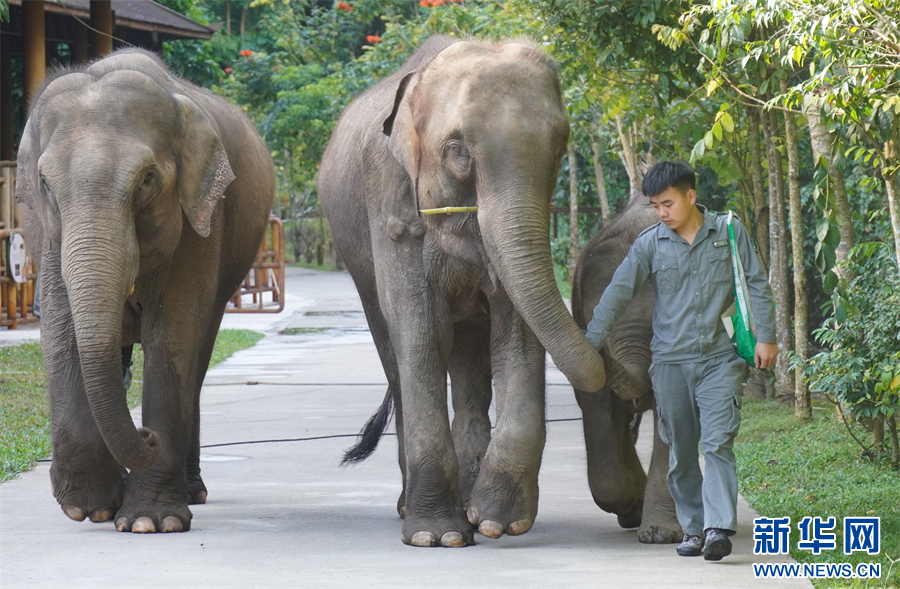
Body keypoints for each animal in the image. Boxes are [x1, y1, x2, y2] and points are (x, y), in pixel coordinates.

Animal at [16, 49, 274, 533]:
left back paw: (191, 492)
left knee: (197, 360)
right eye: (45, 184)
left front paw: (150, 522)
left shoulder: (200, 225)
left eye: (148, 179)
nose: (145, 435)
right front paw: (90, 509)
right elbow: (61, 335)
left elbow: (173, 336)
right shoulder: (49, 235)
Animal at [318, 36, 606, 547]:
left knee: (471, 358)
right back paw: (411, 508)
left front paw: (497, 522)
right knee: (395, 353)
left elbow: (517, 332)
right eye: (456, 149)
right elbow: (422, 333)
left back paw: (471, 506)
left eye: (561, 147)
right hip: (357, 263)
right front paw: (438, 536)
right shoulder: (389, 203)